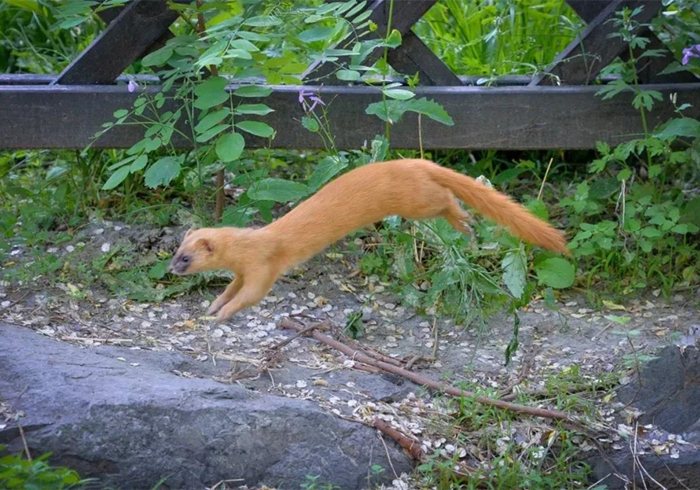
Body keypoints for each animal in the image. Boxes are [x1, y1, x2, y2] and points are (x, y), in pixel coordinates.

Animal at [168, 159, 568, 324]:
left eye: (186, 258)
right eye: (176, 251)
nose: (171, 268)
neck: (253, 242)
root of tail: (416, 161)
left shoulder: (264, 268)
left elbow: (251, 296)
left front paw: (222, 315)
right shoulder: (242, 271)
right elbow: (232, 288)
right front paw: (214, 305)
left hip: (416, 201)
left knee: (445, 198)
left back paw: (464, 222)